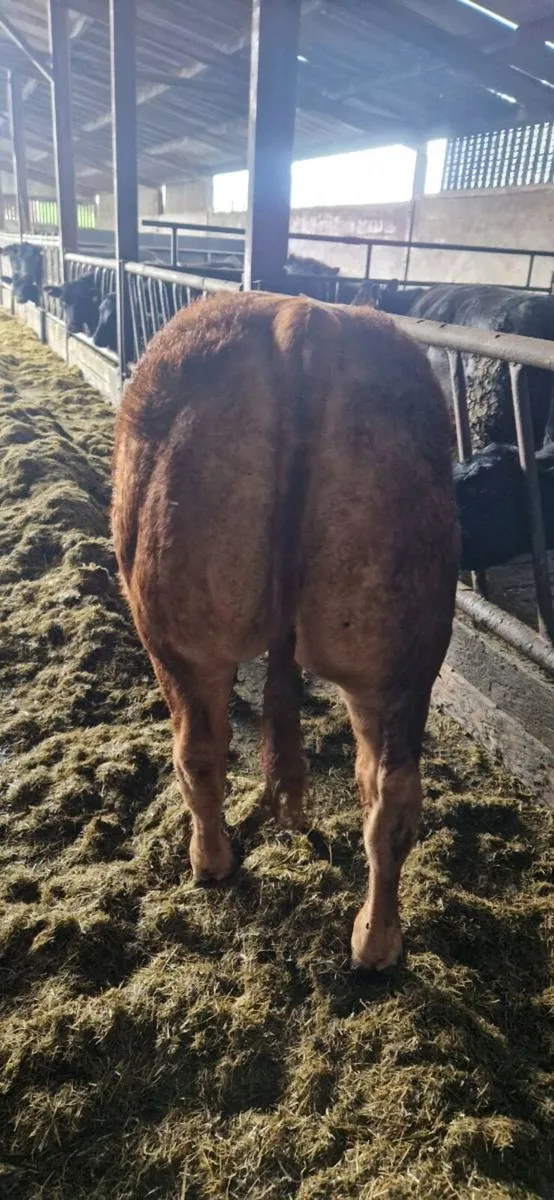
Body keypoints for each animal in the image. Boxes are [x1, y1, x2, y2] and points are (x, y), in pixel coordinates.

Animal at [112, 291, 458, 972]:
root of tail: (305, 318)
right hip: (403, 653)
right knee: (391, 792)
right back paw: (375, 944)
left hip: (176, 637)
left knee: (198, 753)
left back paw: (210, 864)